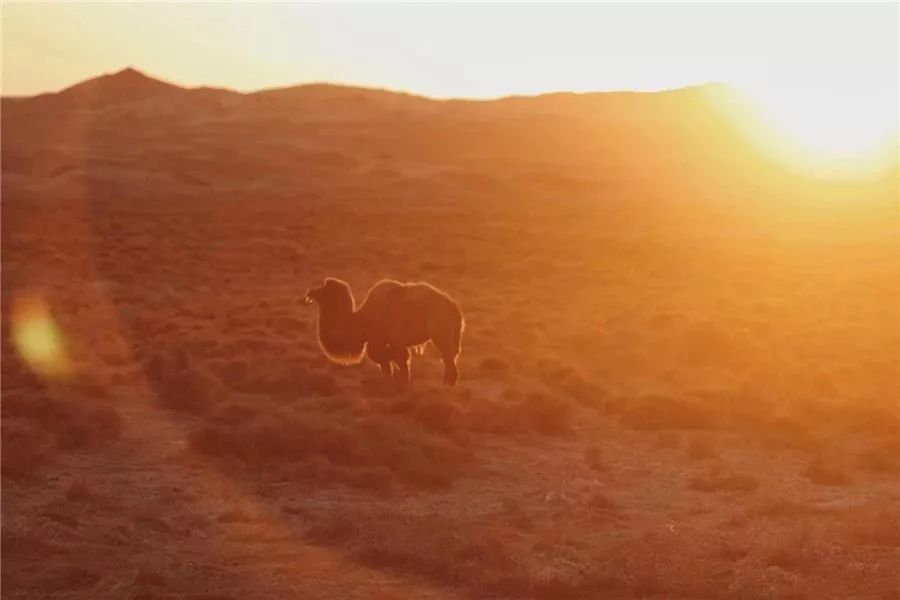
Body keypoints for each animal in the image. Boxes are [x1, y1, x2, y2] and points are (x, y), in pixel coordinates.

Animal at [306, 276, 468, 384]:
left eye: (323, 289)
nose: (310, 292)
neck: (362, 322)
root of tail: (456, 309)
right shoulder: (390, 342)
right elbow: (395, 361)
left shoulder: (381, 341)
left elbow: (390, 359)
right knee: (451, 357)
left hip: (441, 332)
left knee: (448, 358)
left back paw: (447, 383)